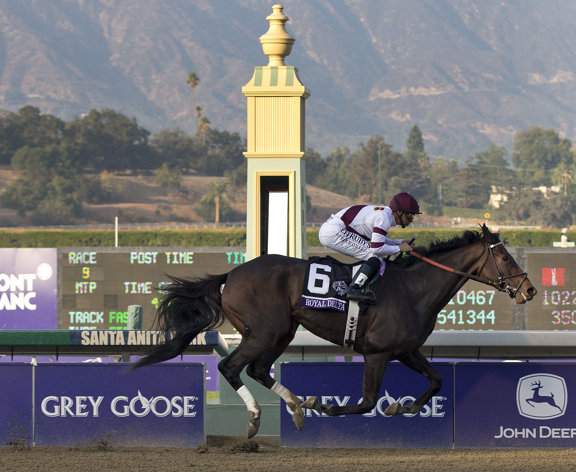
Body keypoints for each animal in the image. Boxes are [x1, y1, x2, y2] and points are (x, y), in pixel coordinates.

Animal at [133, 223, 536, 436]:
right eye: (503, 256)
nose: (529, 290)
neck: (414, 288)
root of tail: (231, 274)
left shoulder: (406, 350)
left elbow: (436, 380)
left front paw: (403, 407)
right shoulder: (378, 353)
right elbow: (367, 401)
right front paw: (327, 407)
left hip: (281, 331)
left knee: (258, 369)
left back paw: (296, 407)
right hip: (265, 331)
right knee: (230, 367)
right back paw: (258, 417)